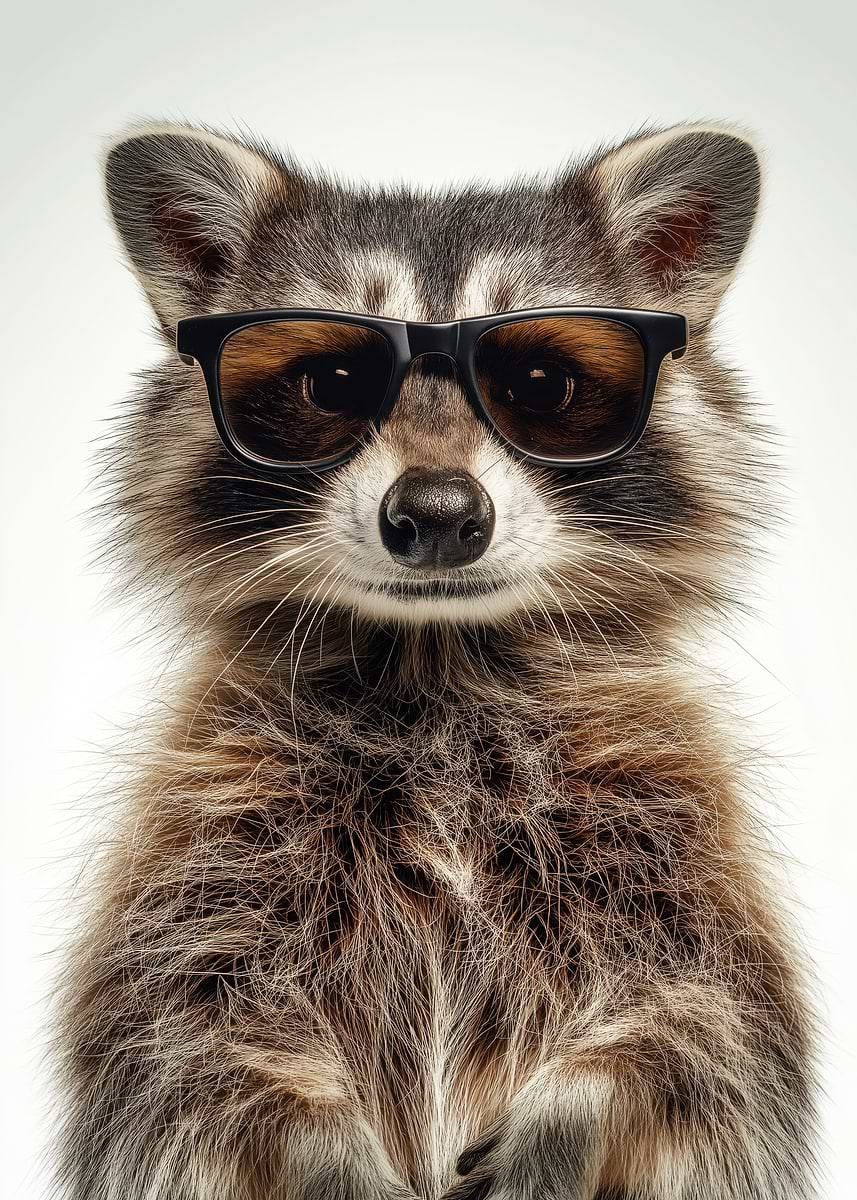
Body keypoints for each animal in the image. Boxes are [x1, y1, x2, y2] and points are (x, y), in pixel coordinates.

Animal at [54, 121, 819, 1199]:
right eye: (330, 382)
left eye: (539, 385)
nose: (439, 511)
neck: (439, 658)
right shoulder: (203, 848)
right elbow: (192, 1044)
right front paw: (328, 1152)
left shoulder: (677, 850)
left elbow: (695, 1030)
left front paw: (569, 1109)